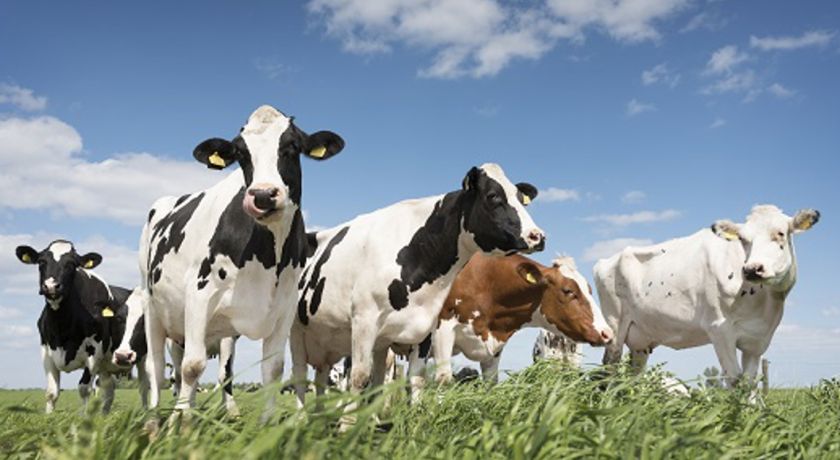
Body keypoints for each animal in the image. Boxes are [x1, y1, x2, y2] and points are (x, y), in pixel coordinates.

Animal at [15, 240, 147, 413]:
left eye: (71, 264)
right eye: (42, 262)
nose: (51, 286)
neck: (62, 326)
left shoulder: (94, 354)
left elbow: (84, 389)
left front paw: (83, 417)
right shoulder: (46, 352)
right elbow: (51, 393)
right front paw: (48, 416)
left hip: (143, 356)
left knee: (144, 386)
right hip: (106, 366)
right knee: (109, 390)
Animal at [137, 105, 345, 416]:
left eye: (292, 146)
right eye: (240, 153)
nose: (262, 195)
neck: (267, 258)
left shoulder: (284, 308)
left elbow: (272, 369)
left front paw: (267, 421)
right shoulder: (198, 294)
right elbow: (192, 367)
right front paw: (182, 423)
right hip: (153, 305)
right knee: (158, 367)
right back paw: (156, 416)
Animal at [290, 163, 545, 411]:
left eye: (521, 198)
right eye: (493, 196)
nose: (538, 236)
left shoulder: (423, 329)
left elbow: (415, 379)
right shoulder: (364, 320)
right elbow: (360, 377)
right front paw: (348, 423)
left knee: (326, 378)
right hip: (295, 331)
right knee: (300, 377)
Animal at [417, 254, 612, 389]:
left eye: (590, 290)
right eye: (568, 291)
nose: (607, 333)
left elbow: (490, 384)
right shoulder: (442, 330)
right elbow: (443, 379)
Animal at [595, 205, 820, 388]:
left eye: (780, 233)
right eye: (742, 239)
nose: (752, 269)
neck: (764, 303)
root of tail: (606, 260)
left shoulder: (758, 340)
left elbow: (749, 383)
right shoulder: (719, 328)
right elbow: (734, 379)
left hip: (641, 339)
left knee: (633, 375)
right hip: (614, 327)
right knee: (609, 368)